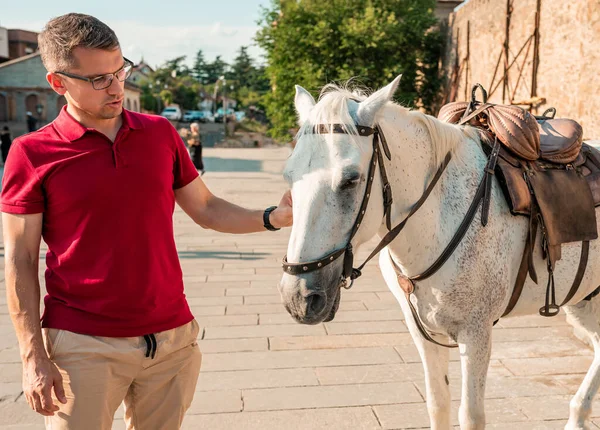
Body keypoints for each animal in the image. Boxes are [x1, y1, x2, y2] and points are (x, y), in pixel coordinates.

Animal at [278, 75, 600, 428]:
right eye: (289, 175)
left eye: (350, 180)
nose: (298, 298)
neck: (437, 218)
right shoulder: (422, 329)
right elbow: (438, 403)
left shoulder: (476, 332)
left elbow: (470, 415)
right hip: (584, 299)